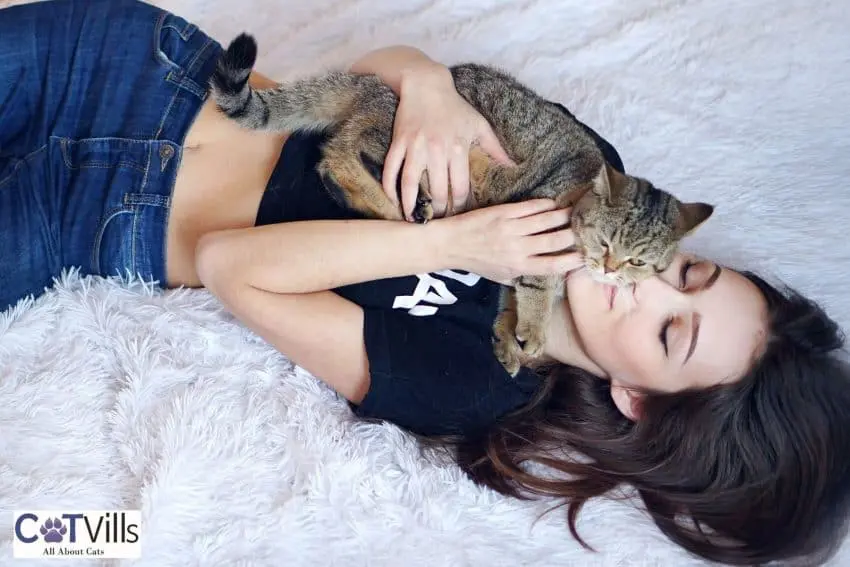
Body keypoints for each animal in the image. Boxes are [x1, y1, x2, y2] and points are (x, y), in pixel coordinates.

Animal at [209, 33, 712, 374]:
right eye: (607, 242)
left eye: (639, 262)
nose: (609, 270)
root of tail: (369, 87)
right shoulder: (537, 236)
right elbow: (536, 289)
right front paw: (533, 330)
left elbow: (510, 299)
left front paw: (510, 339)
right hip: (418, 152)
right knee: (347, 151)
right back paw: (403, 206)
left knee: (336, 158)